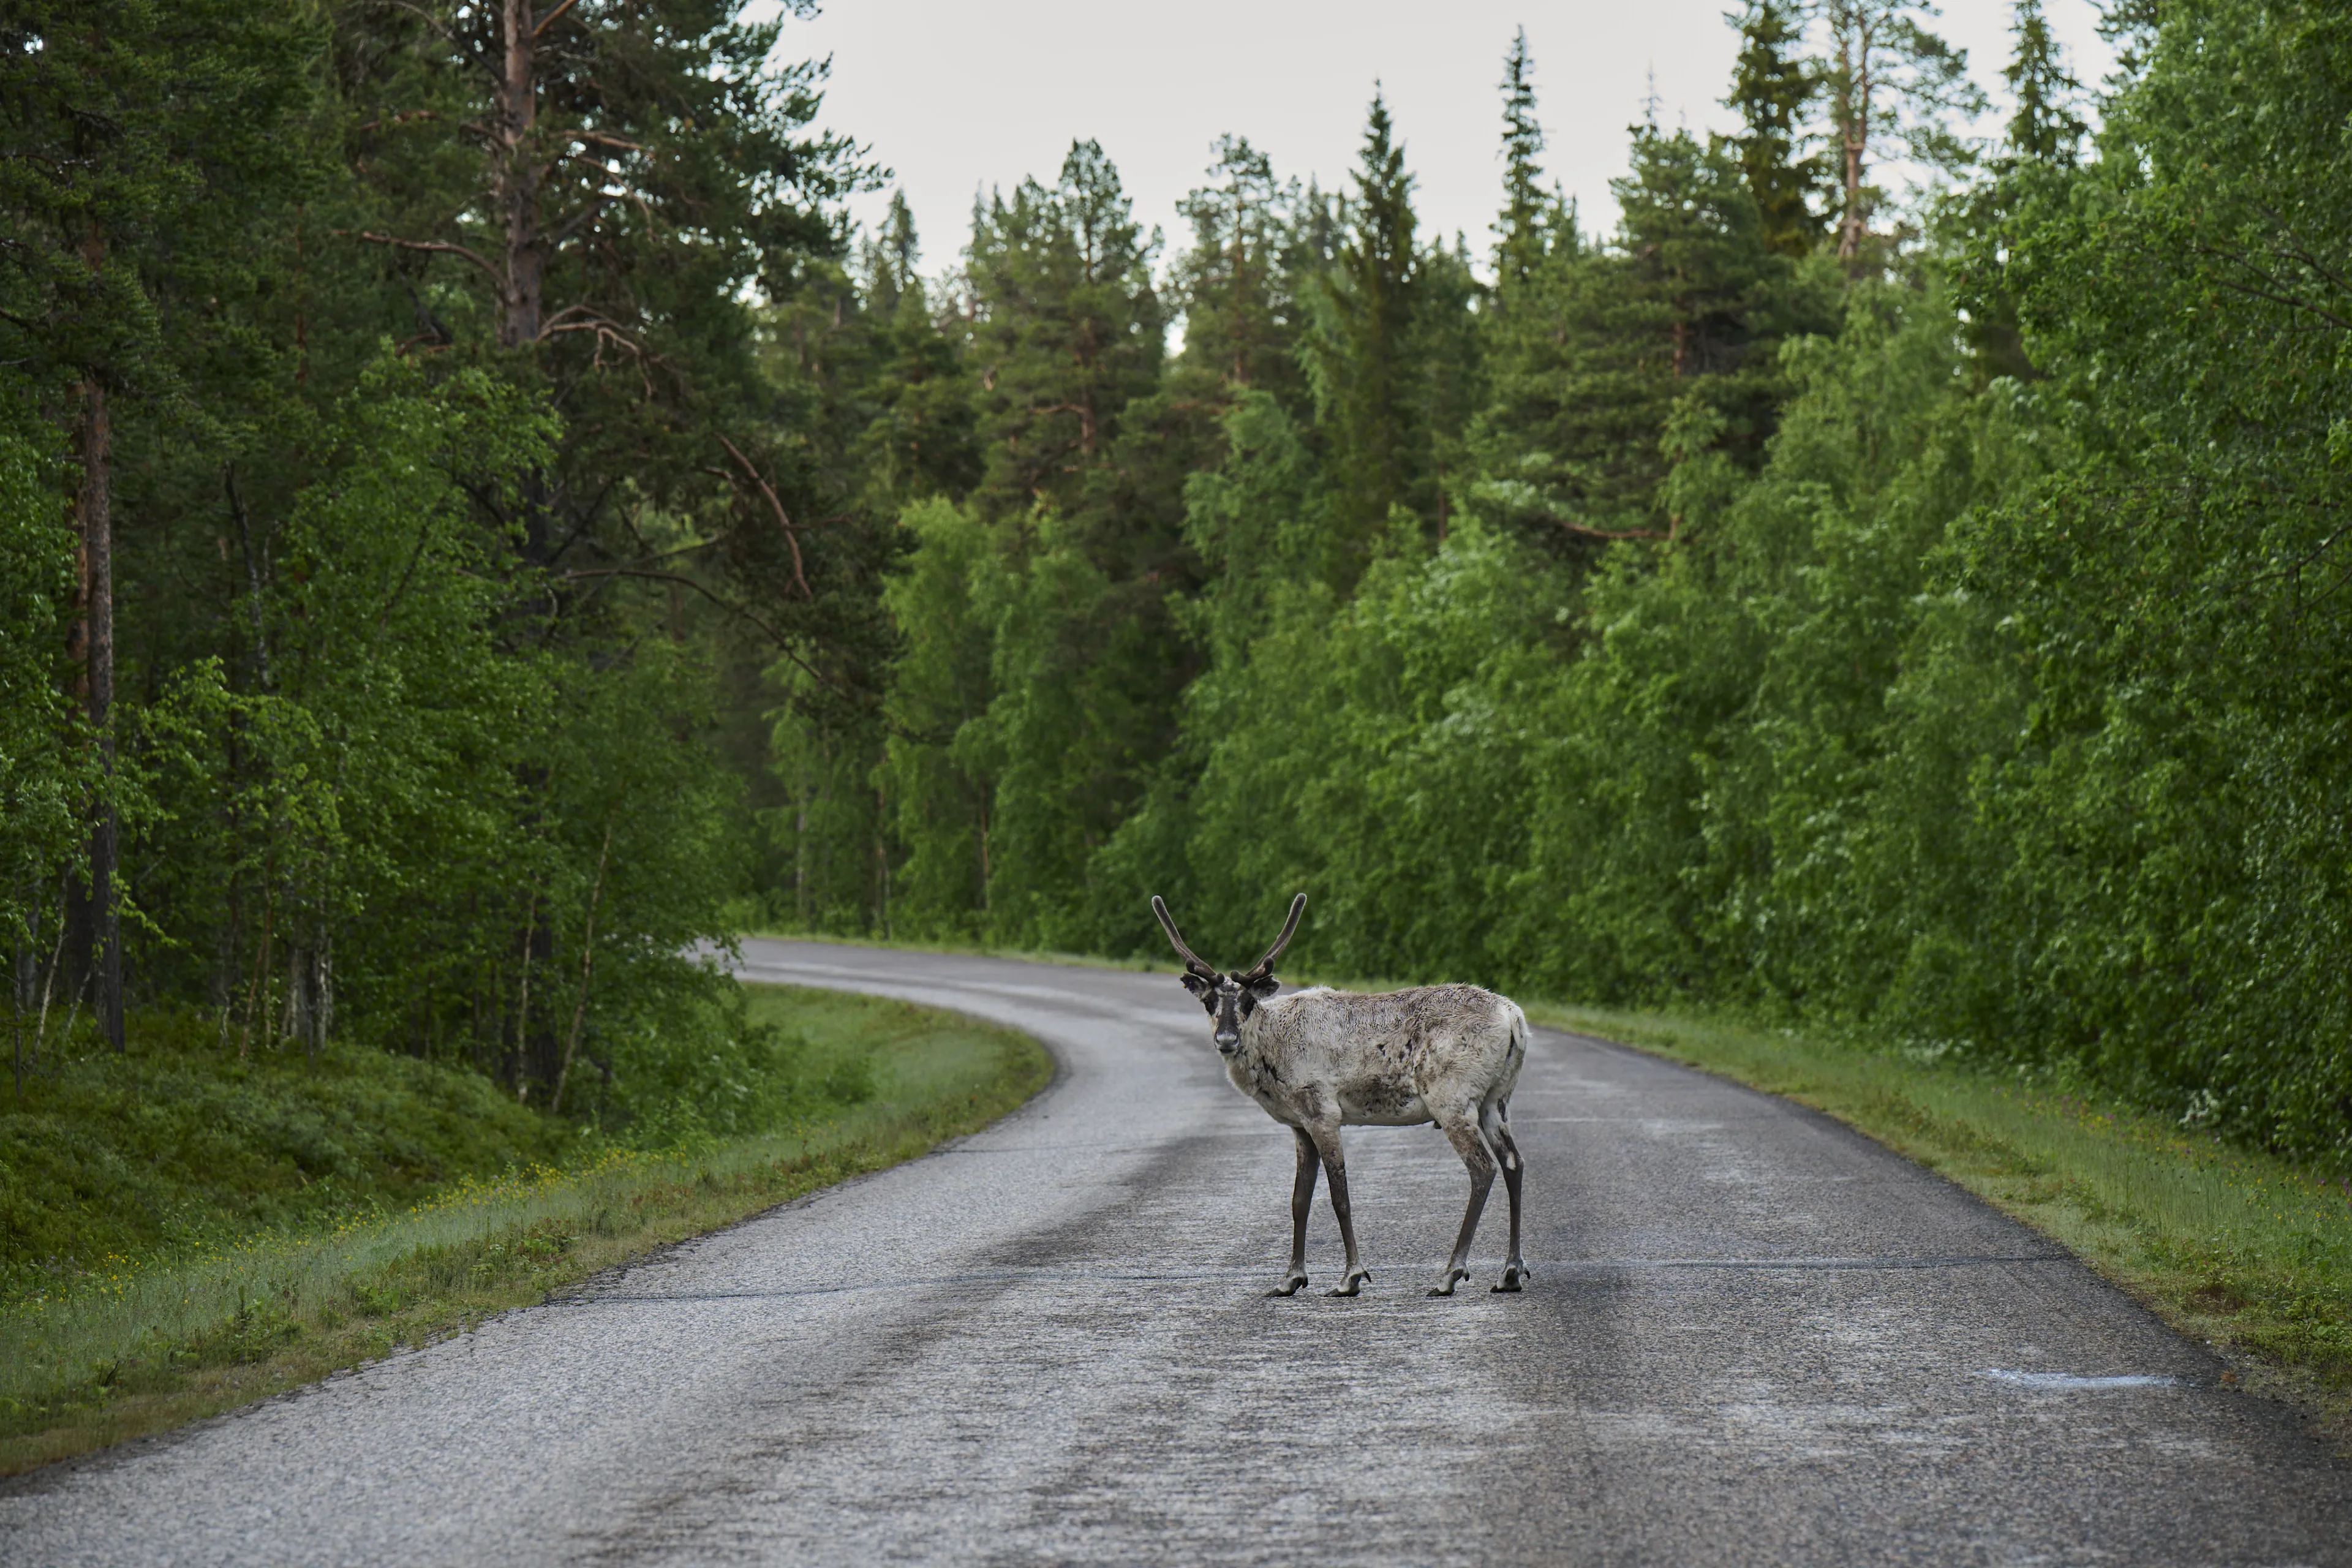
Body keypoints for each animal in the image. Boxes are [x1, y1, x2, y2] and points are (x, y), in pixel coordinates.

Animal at [1151, 893, 1530, 1299]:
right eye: (1209, 1002)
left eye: (1248, 1003)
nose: (1226, 1040)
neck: (1273, 1046)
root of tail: (1514, 1016)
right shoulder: (1299, 1125)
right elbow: (1299, 1199)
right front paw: (1290, 1279)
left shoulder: (1323, 1113)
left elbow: (1339, 1196)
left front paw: (1351, 1277)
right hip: (1496, 1100)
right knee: (1514, 1163)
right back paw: (1509, 1272)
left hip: (1451, 1100)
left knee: (1483, 1168)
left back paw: (1450, 1275)